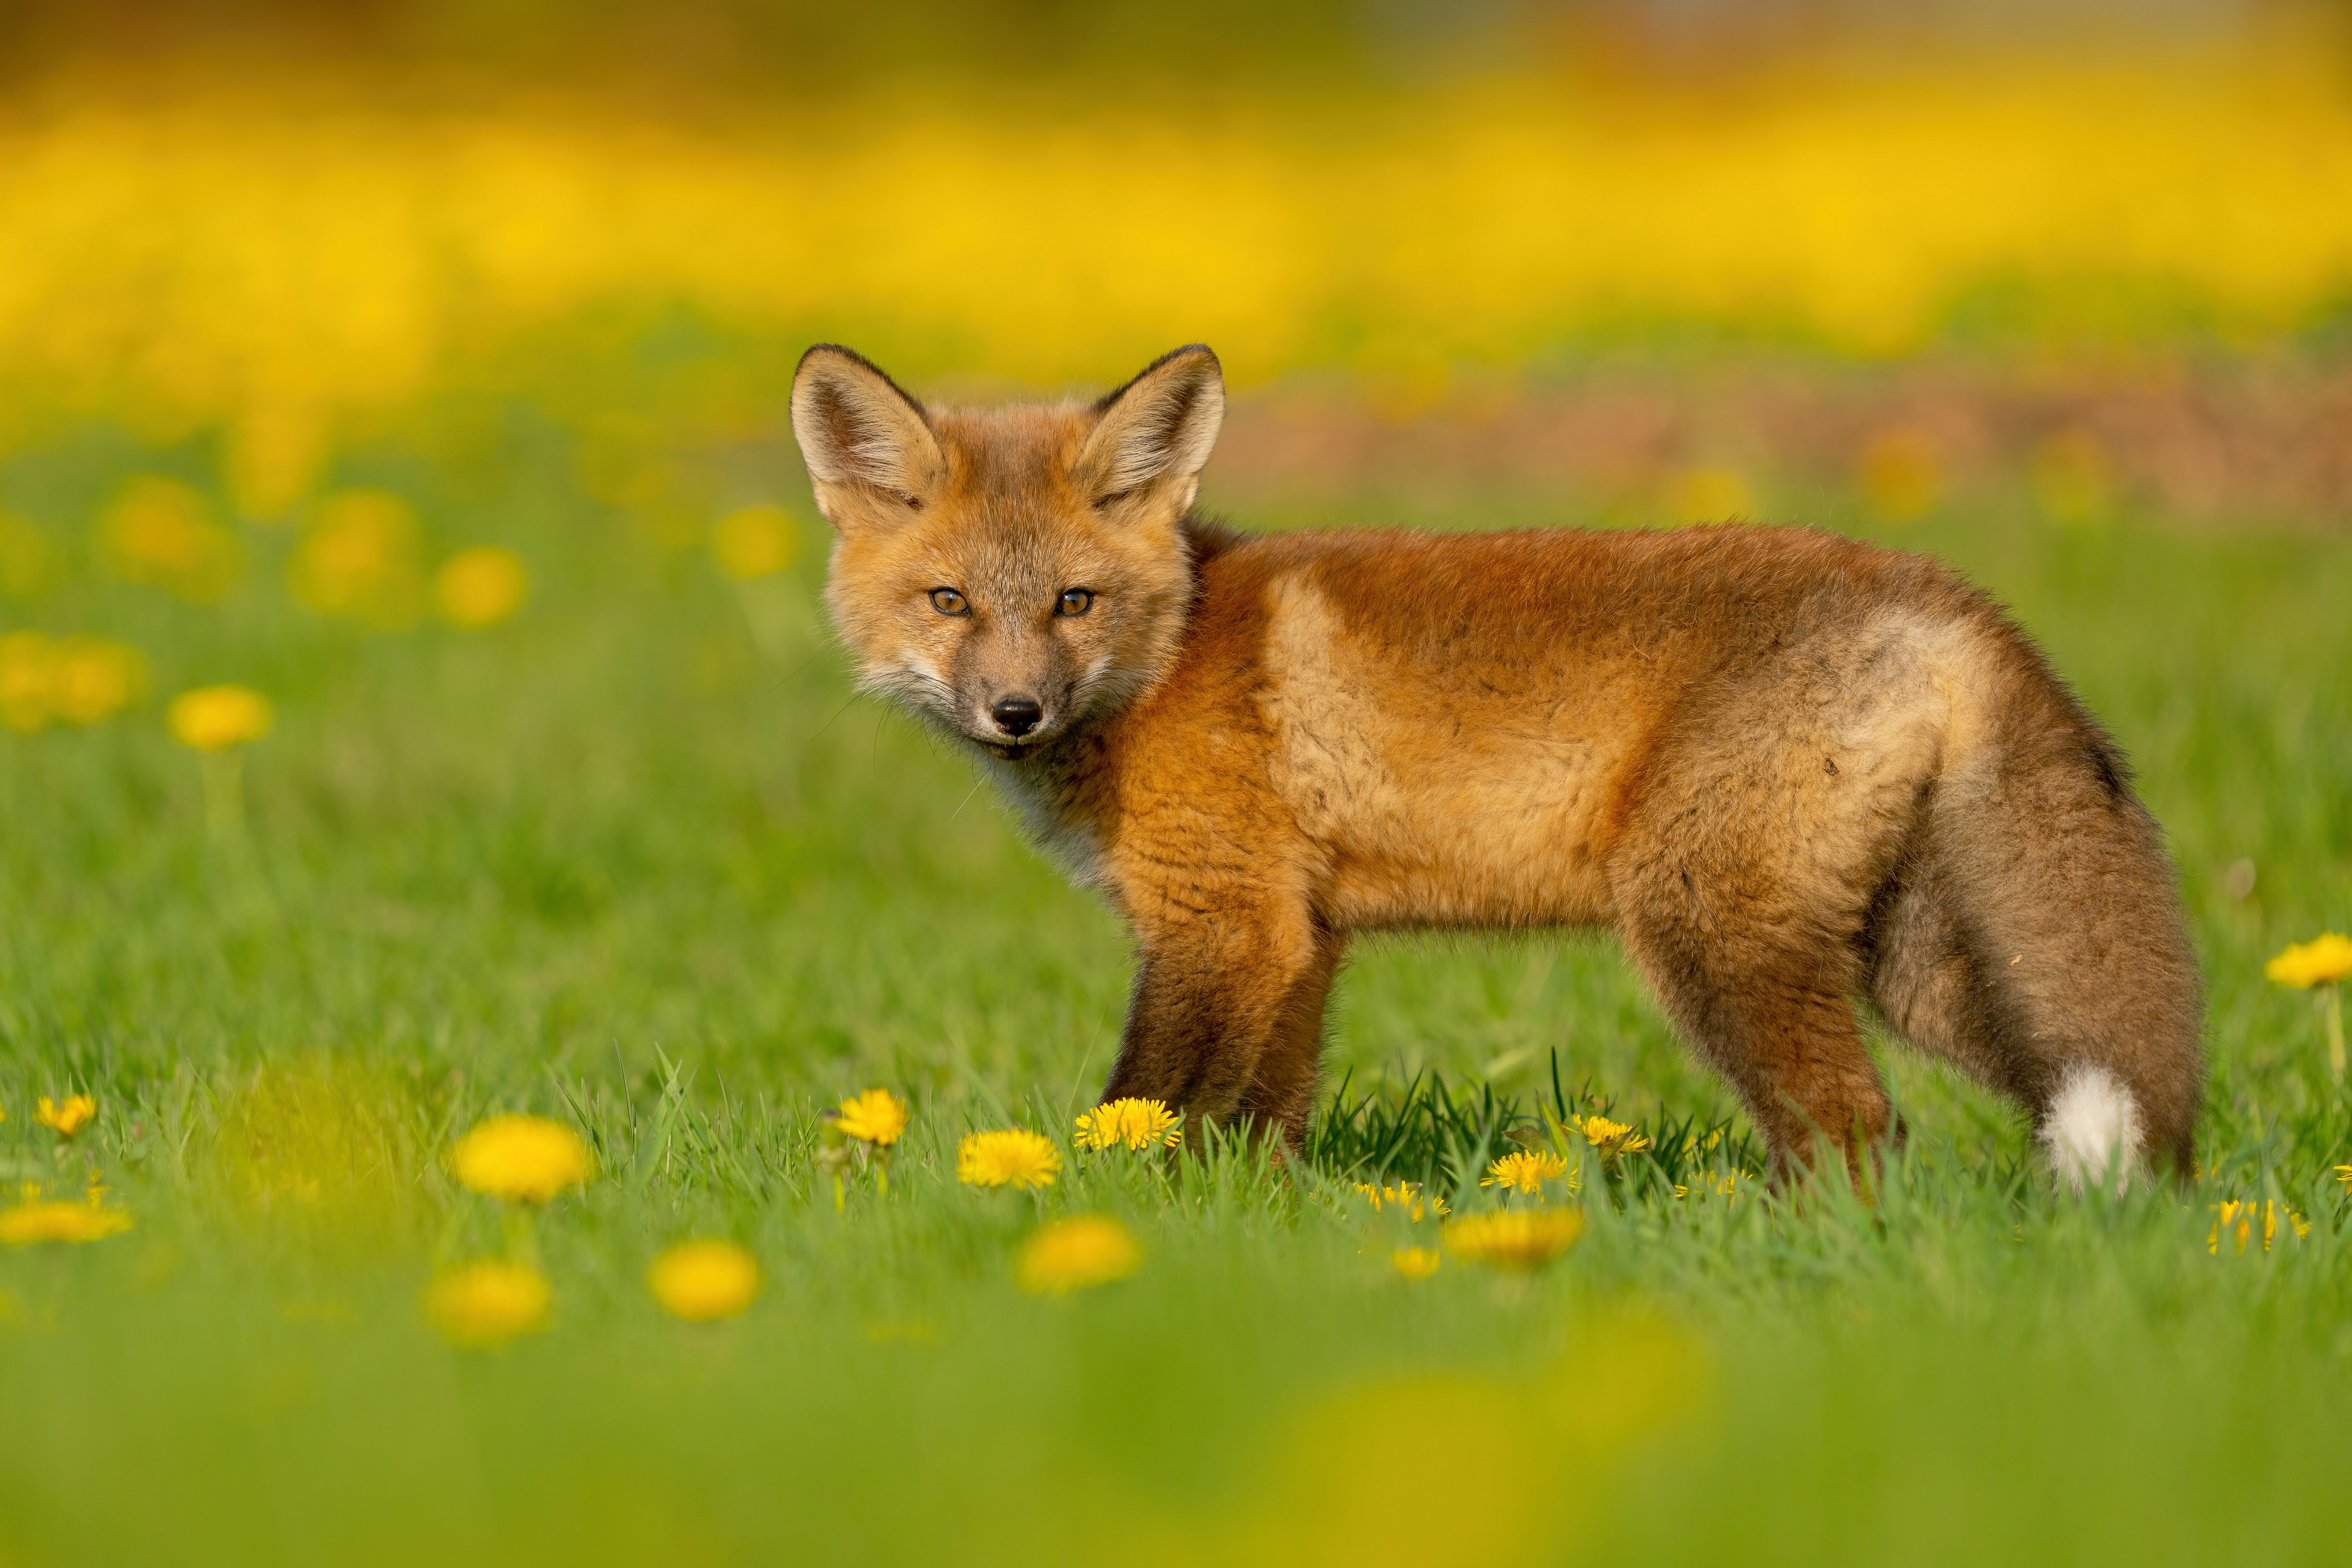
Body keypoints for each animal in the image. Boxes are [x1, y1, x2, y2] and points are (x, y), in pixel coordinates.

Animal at [789, 341, 2204, 1186]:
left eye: (1073, 602)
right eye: (949, 602)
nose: (1015, 710)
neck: (1170, 659)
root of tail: (1942, 590)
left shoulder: (1222, 923)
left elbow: (1143, 1106)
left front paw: (1098, 1223)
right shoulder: (1302, 937)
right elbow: (1262, 1124)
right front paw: (1248, 1247)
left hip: (1708, 933)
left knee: (1857, 1134)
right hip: (1906, 960)